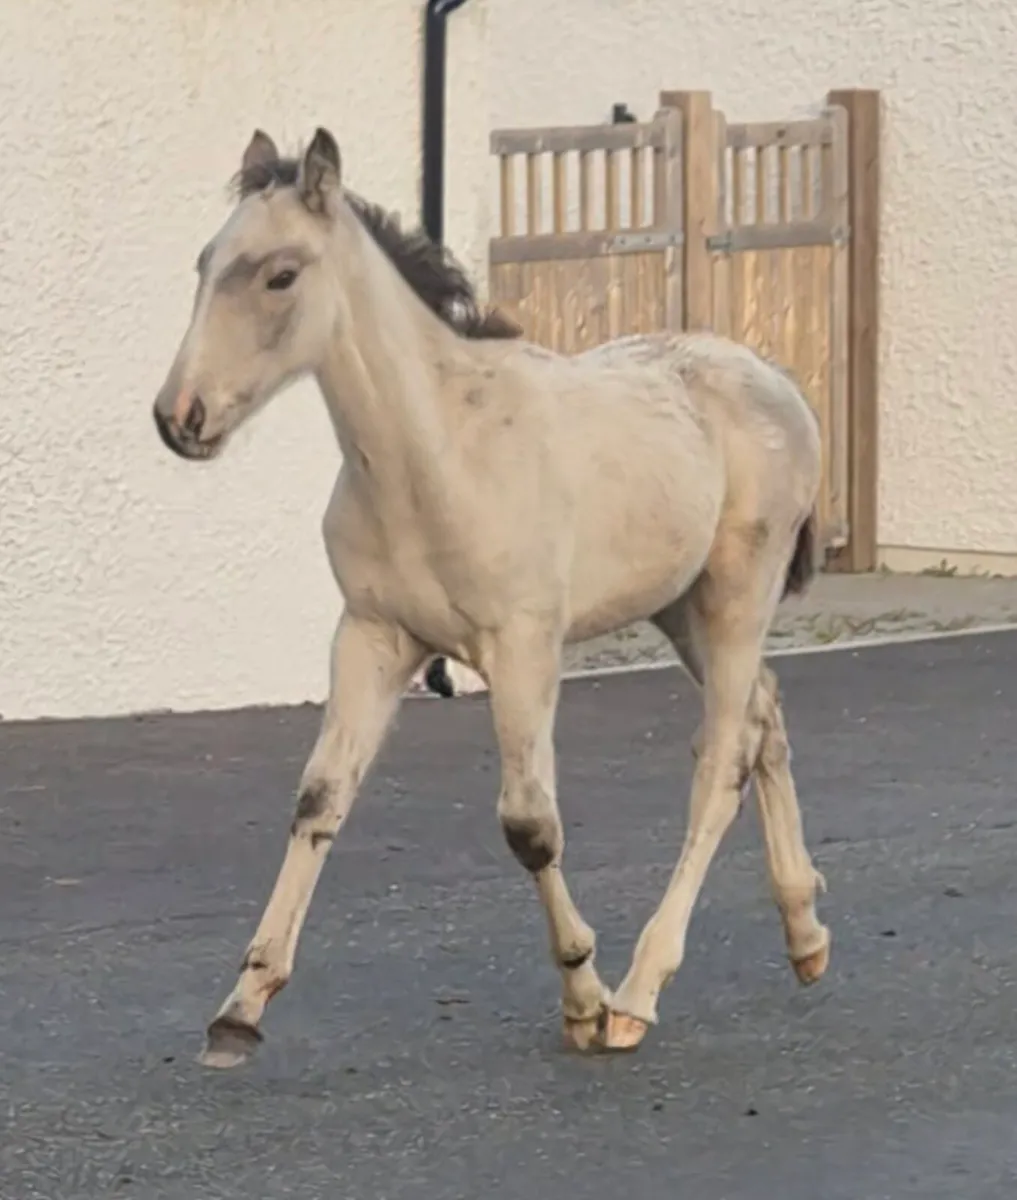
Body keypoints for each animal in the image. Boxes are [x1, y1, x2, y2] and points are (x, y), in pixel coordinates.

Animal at [151, 126, 830, 1067]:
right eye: (204, 263)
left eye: (279, 274)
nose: (179, 417)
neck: (436, 455)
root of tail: (778, 380)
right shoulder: (371, 636)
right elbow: (319, 799)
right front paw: (240, 1010)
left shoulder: (522, 648)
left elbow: (528, 822)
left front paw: (582, 997)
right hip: (679, 607)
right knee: (765, 717)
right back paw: (804, 935)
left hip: (735, 594)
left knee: (722, 759)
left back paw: (639, 994)